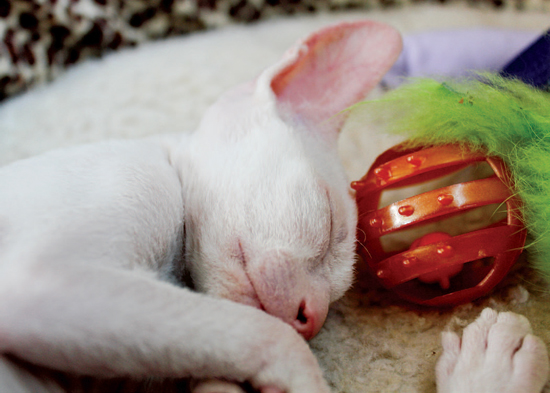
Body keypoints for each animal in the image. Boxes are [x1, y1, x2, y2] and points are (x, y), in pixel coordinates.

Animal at [0, 19, 548, 392]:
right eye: (329, 224)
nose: (313, 318)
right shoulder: (41, 279)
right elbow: (265, 336)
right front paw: (302, 374)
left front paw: (491, 370)